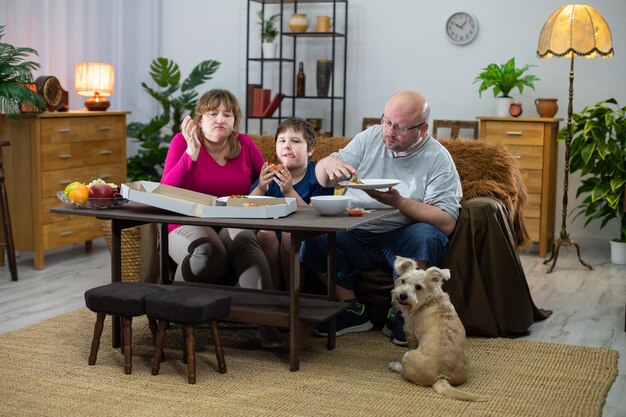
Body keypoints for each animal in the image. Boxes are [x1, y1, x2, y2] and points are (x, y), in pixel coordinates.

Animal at [386, 255, 488, 402]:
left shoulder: (410, 334)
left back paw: (395, 365)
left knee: (404, 371)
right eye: (403, 280)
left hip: (408, 356)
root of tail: (442, 376)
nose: (402, 296)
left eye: (418, 287)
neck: (430, 300)